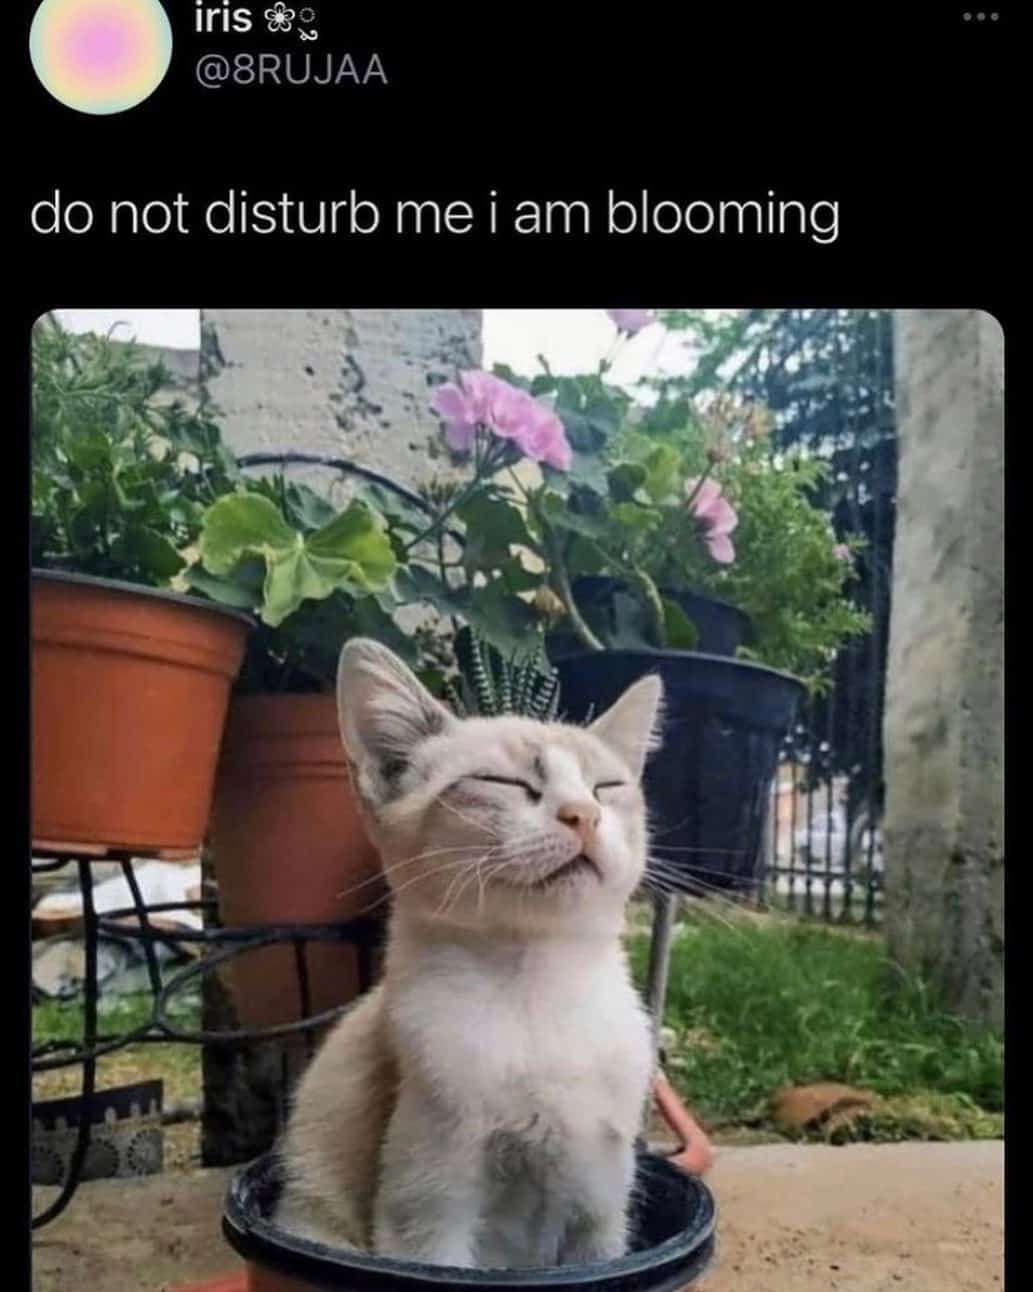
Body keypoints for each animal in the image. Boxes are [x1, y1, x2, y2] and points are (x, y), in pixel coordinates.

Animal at [273, 640, 661, 1266]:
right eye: (502, 782)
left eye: (606, 787)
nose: (584, 814)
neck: (539, 990)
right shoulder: (430, 1215)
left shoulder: (600, 1211)